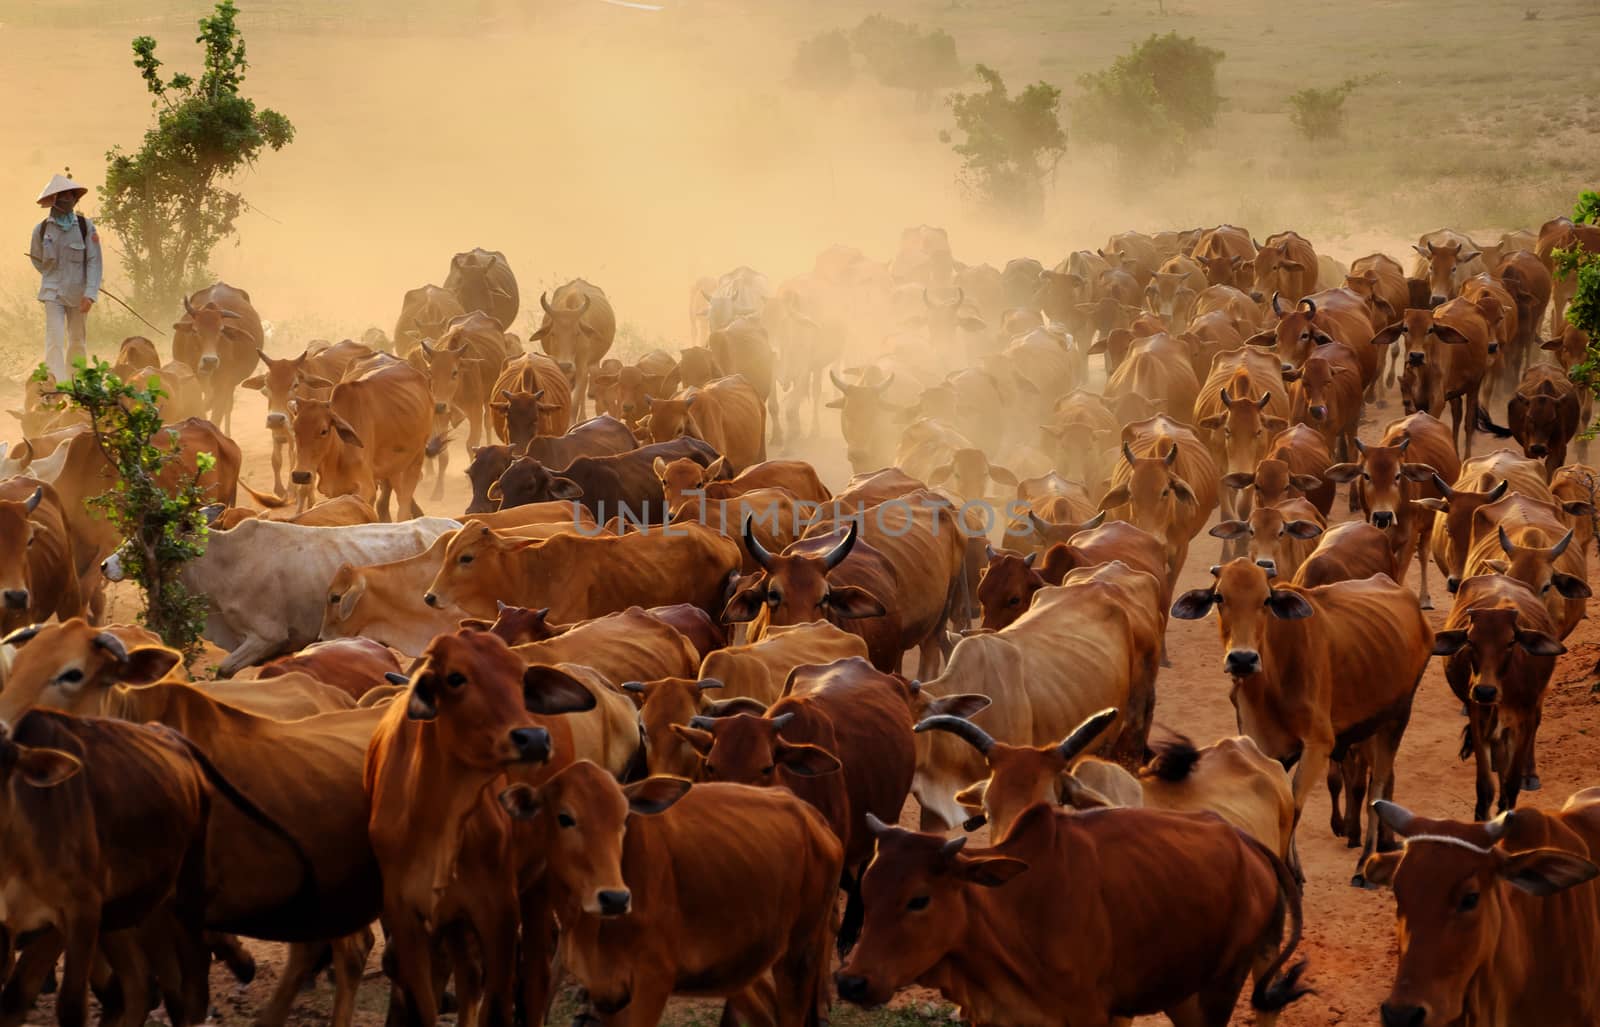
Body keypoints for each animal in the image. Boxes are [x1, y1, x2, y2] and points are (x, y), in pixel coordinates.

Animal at [1171, 556, 1433, 876]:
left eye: (1266, 599)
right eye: (1219, 597)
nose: (1243, 659)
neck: (1271, 683)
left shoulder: (1318, 743)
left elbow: (1293, 805)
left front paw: (1291, 872)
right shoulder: (1265, 745)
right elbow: (1280, 799)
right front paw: (1292, 868)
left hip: (1397, 717)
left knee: (1378, 786)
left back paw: (1364, 864)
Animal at [1433, 572, 1555, 812]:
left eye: (1510, 642)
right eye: (1470, 641)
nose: (1485, 692)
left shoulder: (1523, 723)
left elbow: (1512, 784)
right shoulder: (1479, 720)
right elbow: (1485, 789)